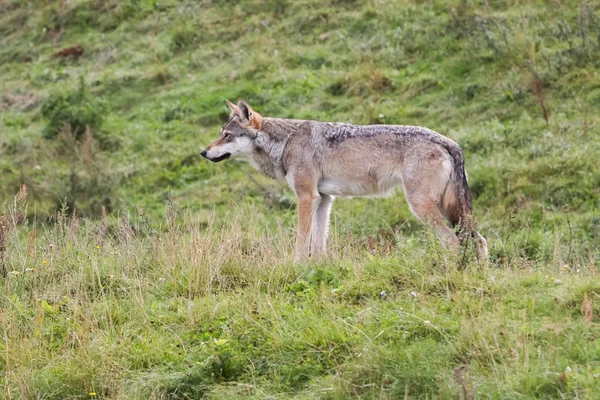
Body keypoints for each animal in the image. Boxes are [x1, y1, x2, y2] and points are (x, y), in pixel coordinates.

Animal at [202, 99, 488, 260]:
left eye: (226, 135)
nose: (203, 152)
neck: (286, 142)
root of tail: (450, 142)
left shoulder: (306, 197)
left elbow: (301, 240)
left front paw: (295, 265)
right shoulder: (324, 200)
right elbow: (318, 245)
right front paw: (315, 269)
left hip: (422, 206)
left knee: (453, 242)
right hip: (448, 210)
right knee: (479, 241)